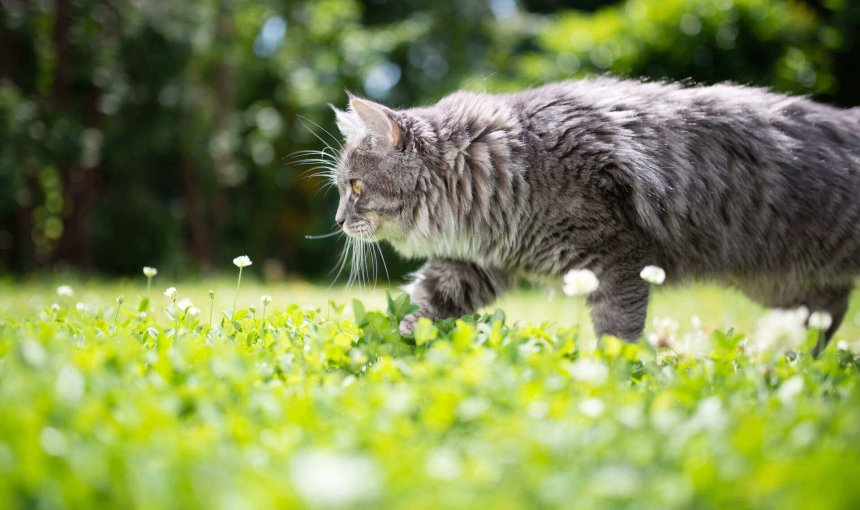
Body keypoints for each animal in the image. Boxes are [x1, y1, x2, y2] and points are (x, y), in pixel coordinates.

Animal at [326, 76, 856, 354]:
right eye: (341, 189)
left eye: (356, 187)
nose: (337, 220)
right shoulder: (474, 263)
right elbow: (427, 298)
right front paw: (403, 332)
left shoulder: (618, 260)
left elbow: (616, 331)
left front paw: (610, 376)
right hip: (786, 288)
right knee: (822, 321)